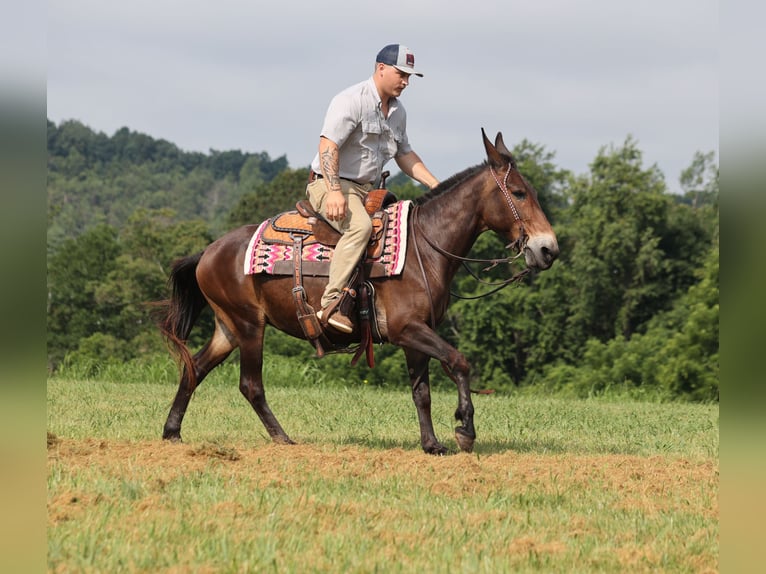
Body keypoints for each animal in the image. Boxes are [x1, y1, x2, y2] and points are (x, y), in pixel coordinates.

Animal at [160, 129, 559, 455]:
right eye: (519, 193)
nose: (548, 249)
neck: (424, 246)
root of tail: (207, 252)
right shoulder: (406, 328)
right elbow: (459, 361)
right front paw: (465, 430)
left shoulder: (417, 333)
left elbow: (422, 391)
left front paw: (432, 444)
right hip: (248, 326)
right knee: (250, 384)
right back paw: (282, 437)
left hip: (228, 327)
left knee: (195, 368)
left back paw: (172, 432)